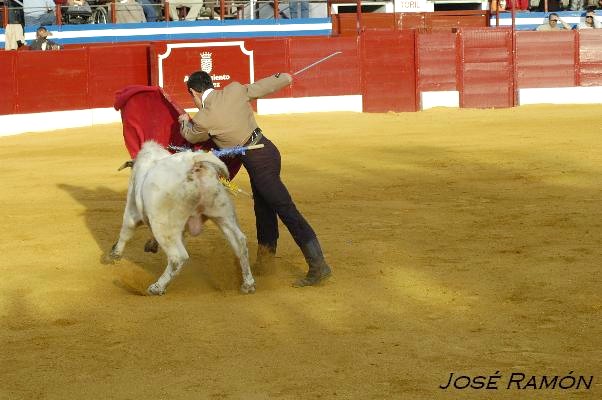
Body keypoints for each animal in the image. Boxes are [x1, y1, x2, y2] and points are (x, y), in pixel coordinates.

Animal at [109, 141, 254, 294]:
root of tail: (192, 162)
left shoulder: (131, 210)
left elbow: (126, 231)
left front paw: (114, 253)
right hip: (222, 213)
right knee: (240, 243)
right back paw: (248, 284)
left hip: (162, 225)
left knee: (177, 257)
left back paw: (157, 287)